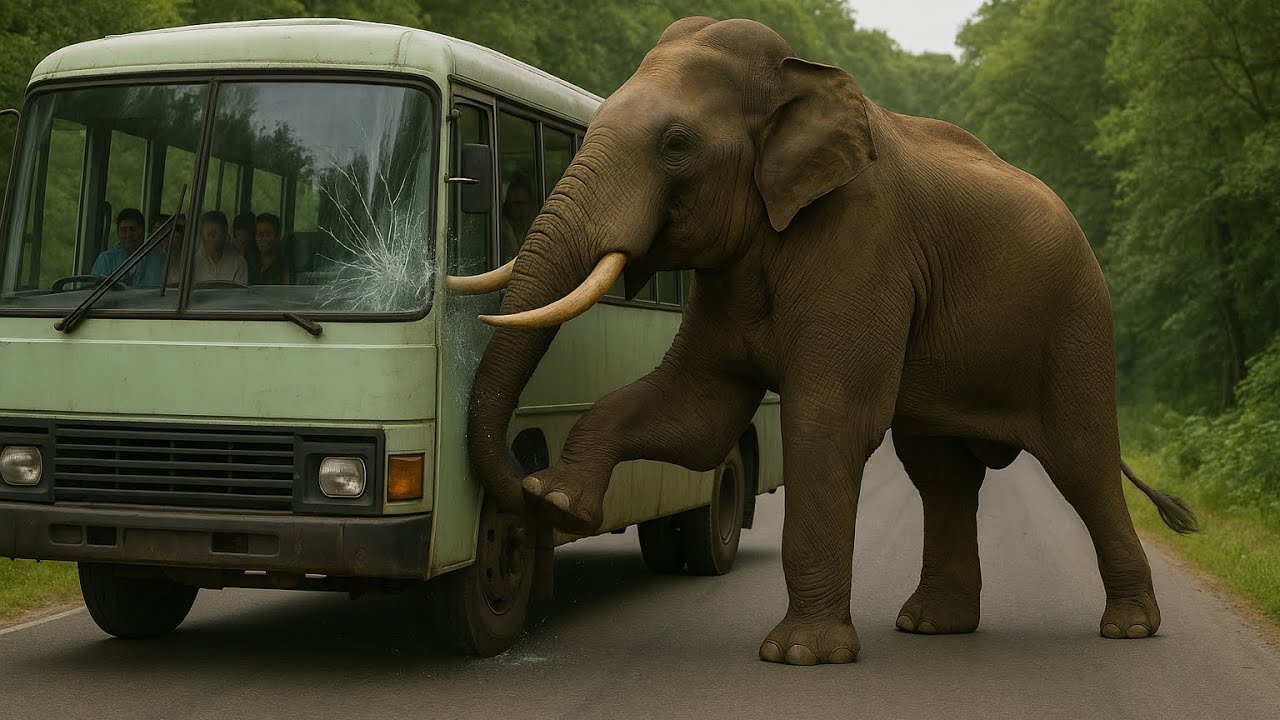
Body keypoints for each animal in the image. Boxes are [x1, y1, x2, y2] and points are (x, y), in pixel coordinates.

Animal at [448, 16, 1198, 665]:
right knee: (940, 472)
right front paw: (561, 498)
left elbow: (827, 418)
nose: (518, 491)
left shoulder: (863, 244)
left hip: (1076, 321)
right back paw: (932, 626)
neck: (793, 81)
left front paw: (798, 656)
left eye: (676, 144)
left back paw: (1129, 629)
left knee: (1080, 462)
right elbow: (699, 413)